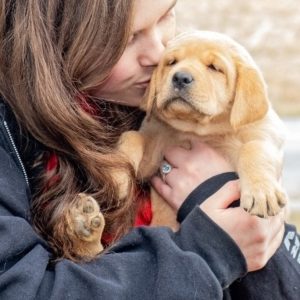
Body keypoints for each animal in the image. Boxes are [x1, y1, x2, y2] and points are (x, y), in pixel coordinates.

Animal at [116, 30, 286, 229]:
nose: (180, 77)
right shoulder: (151, 162)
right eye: (171, 62)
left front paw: (262, 193)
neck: (197, 131)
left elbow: (254, 148)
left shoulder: (268, 138)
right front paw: (118, 178)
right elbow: (132, 136)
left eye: (214, 67)